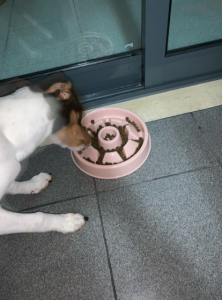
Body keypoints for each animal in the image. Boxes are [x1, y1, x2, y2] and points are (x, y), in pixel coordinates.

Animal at [0, 76, 91, 236]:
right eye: (79, 116)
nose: (90, 141)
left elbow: (13, 184)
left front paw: (35, 183)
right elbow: (37, 218)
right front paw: (66, 222)